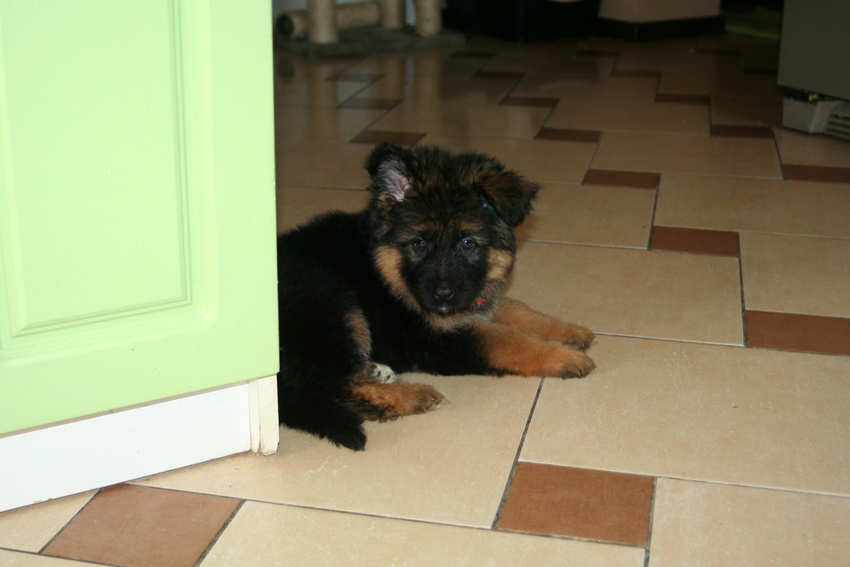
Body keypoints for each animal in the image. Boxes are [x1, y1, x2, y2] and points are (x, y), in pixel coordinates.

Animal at [277, 142, 595, 450]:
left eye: (467, 243)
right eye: (419, 243)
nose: (442, 295)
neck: (383, 268)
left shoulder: (473, 298)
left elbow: (517, 309)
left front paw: (569, 331)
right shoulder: (435, 339)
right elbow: (506, 340)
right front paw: (565, 357)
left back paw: (378, 373)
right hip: (331, 299)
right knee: (333, 385)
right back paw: (414, 395)